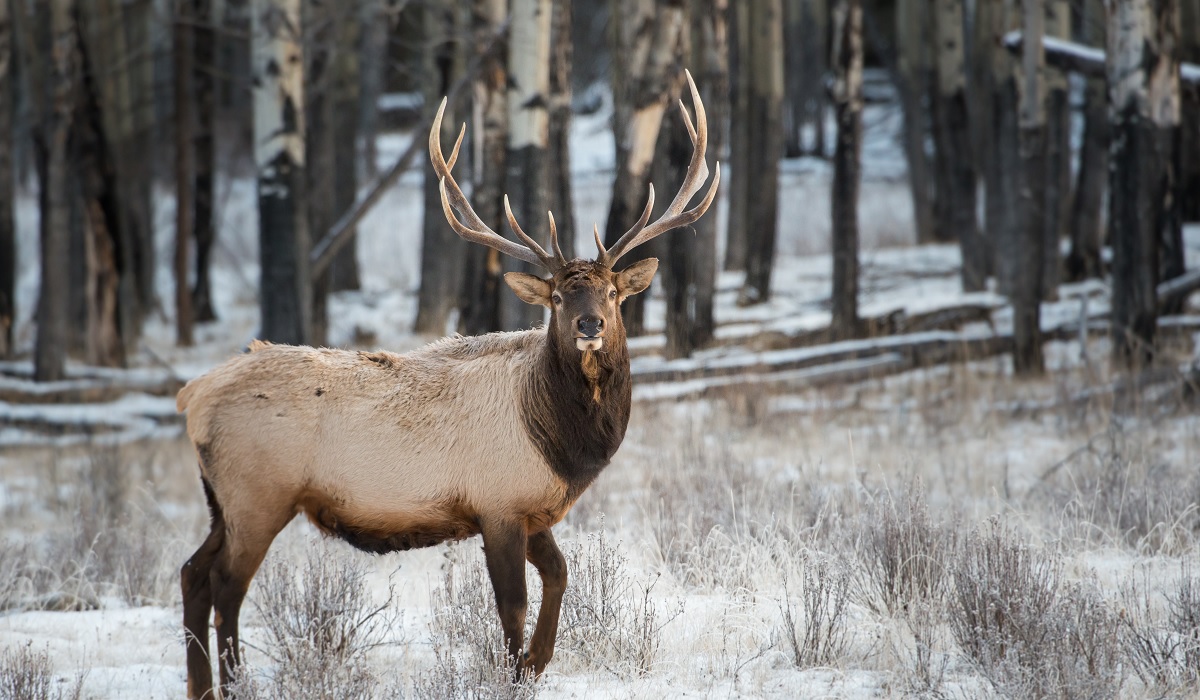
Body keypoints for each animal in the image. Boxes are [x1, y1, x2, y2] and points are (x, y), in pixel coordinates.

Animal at [176, 69, 715, 696]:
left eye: (611, 293)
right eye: (558, 297)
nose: (590, 325)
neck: (561, 445)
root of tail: (193, 396)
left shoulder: (530, 510)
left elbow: (559, 575)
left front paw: (535, 664)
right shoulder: (498, 503)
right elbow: (512, 603)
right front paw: (511, 672)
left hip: (222, 498)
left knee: (193, 573)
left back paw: (201, 684)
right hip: (258, 491)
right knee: (227, 587)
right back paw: (231, 683)